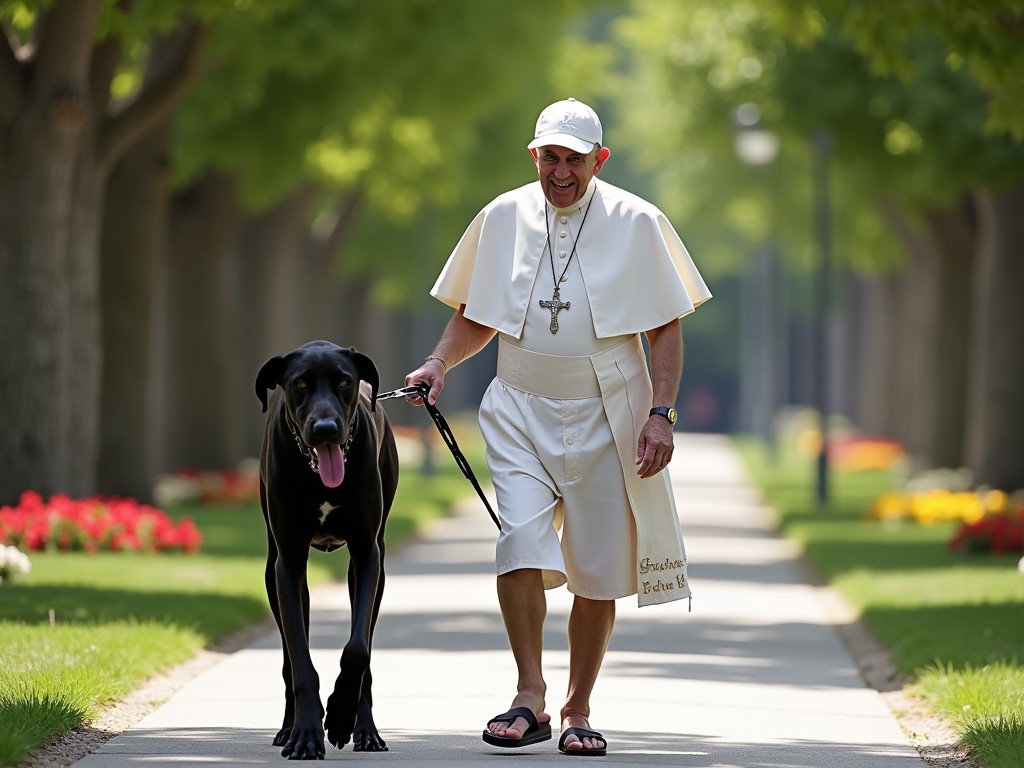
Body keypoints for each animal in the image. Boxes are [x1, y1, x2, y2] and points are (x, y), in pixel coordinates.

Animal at [253, 342, 397, 757]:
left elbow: (358, 650)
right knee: (289, 656)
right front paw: (305, 733)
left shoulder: (367, 555)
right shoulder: (288, 561)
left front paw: (340, 715)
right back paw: (290, 727)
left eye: (344, 381)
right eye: (300, 383)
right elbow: (299, 660)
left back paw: (364, 729)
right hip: (275, 572)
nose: (326, 429)